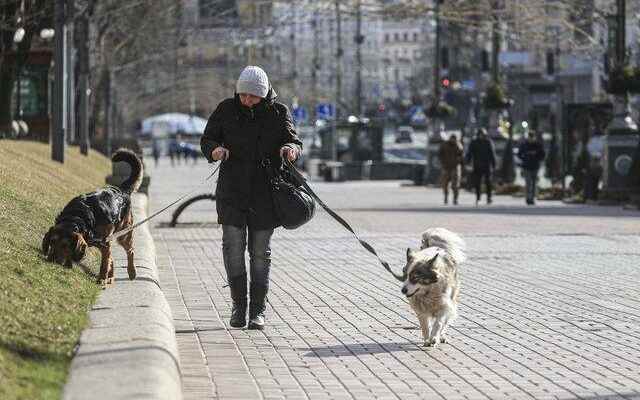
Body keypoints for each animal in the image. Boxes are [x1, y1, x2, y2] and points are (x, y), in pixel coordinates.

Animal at [42, 148, 144, 286]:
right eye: (52, 241)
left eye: (65, 245)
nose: (51, 260)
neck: (78, 216)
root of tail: (122, 190)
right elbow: (107, 260)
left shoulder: (105, 243)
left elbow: (104, 263)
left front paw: (101, 279)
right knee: (112, 258)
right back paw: (111, 277)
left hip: (124, 235)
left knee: (130, 251)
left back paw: (131, 271)